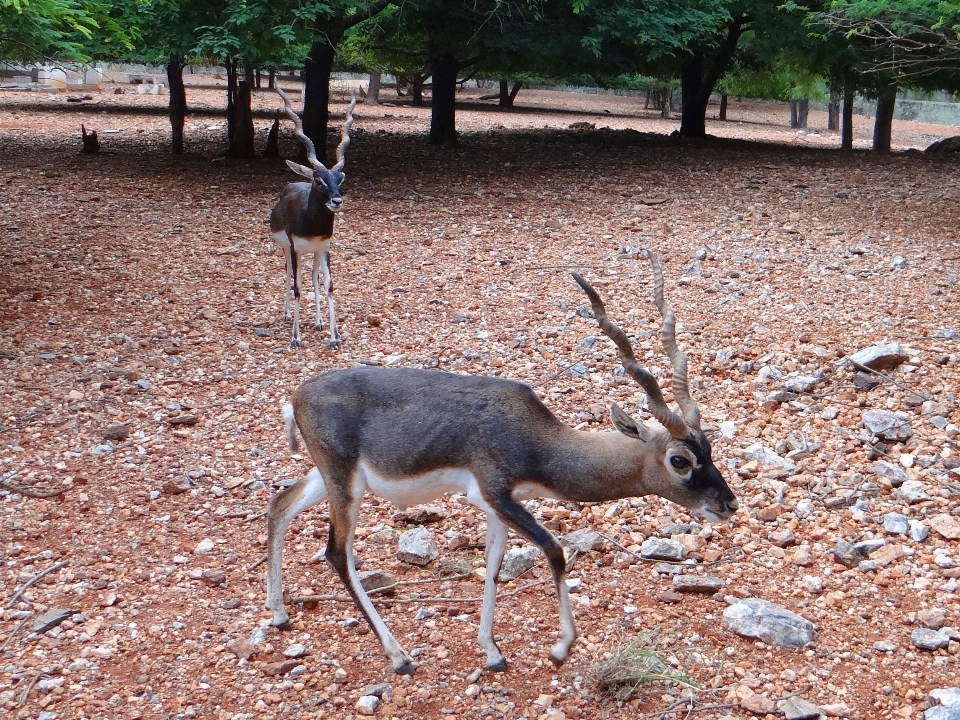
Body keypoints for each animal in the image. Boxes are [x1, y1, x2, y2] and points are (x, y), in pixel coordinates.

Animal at [266, 252, 740, 676]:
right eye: (679, 460)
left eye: (709, 447)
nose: (728, 504)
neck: (538, 439)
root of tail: (296, 396)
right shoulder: (498, 494)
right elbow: (554, 551)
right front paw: (561, 649)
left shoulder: (494, 505)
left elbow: (493, 569)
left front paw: (492, 652)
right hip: (346, 484)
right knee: (337, 553)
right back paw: (399, 657)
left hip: (331, 477)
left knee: (279, 505)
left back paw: (279, 614)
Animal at [270, 88, 356, 348]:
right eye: (319, 181)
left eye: (341, 179)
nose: (337, 201)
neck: (312, 225)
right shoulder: (295, 248)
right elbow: (297, 286)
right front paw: (296, 337)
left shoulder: (324, 247)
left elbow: (328, 285)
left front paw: (334, 336)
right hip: (287, 250)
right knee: (289, 274)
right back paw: (287, 316)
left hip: (315, 252)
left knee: (314, 278)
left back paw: (318, 322)